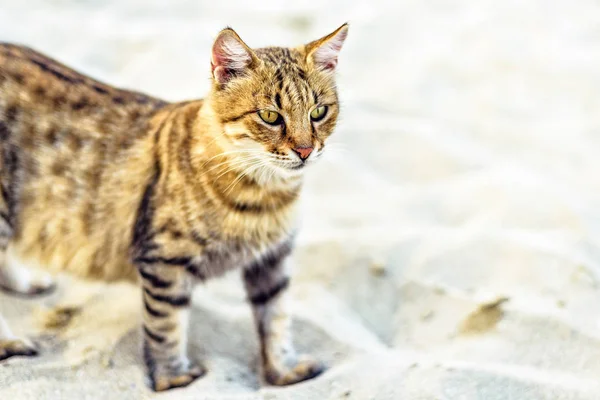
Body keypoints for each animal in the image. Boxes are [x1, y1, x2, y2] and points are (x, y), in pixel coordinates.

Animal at [0, 22, 346, 390]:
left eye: (318, 112)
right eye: (270, 116)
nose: (306, 150)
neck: (264, 196)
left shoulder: (272, 260)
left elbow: (277, 321)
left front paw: (283, 370)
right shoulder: (164, 261)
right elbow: (165, 327)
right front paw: (173, 377)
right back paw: (9, 343)